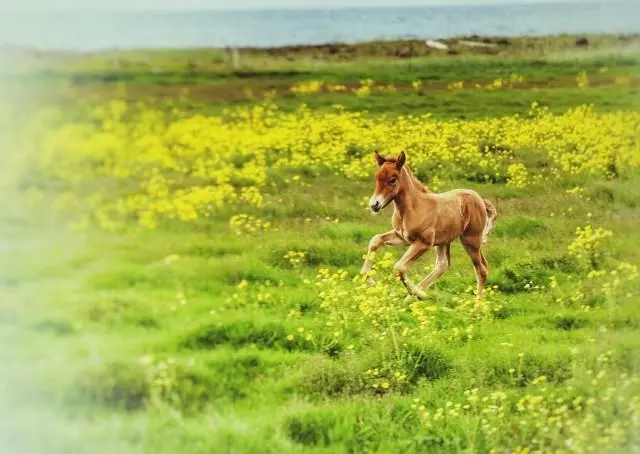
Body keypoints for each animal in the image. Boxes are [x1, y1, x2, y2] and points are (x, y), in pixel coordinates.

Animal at [358, 151, 498, 302]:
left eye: (393, 180)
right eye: (377, 177)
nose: (374, 205)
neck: (414, 208)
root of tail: (480, 200)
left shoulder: (424, 243)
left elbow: (399, 267)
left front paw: (419, 294)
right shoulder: (402, 237)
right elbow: (376, 240)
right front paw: (369, 280)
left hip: (471, 240)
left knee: (481, 269)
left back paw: (478, 305)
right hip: (443, 241)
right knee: (443, 265)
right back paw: (413, 297)